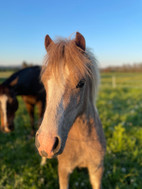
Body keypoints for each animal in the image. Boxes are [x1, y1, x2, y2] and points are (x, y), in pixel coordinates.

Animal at [35, 32, 106, 188]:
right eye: (44, 82)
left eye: (81, 83)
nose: (47, 143)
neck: (82, 139)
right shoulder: (63, 170)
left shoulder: (97, 170)